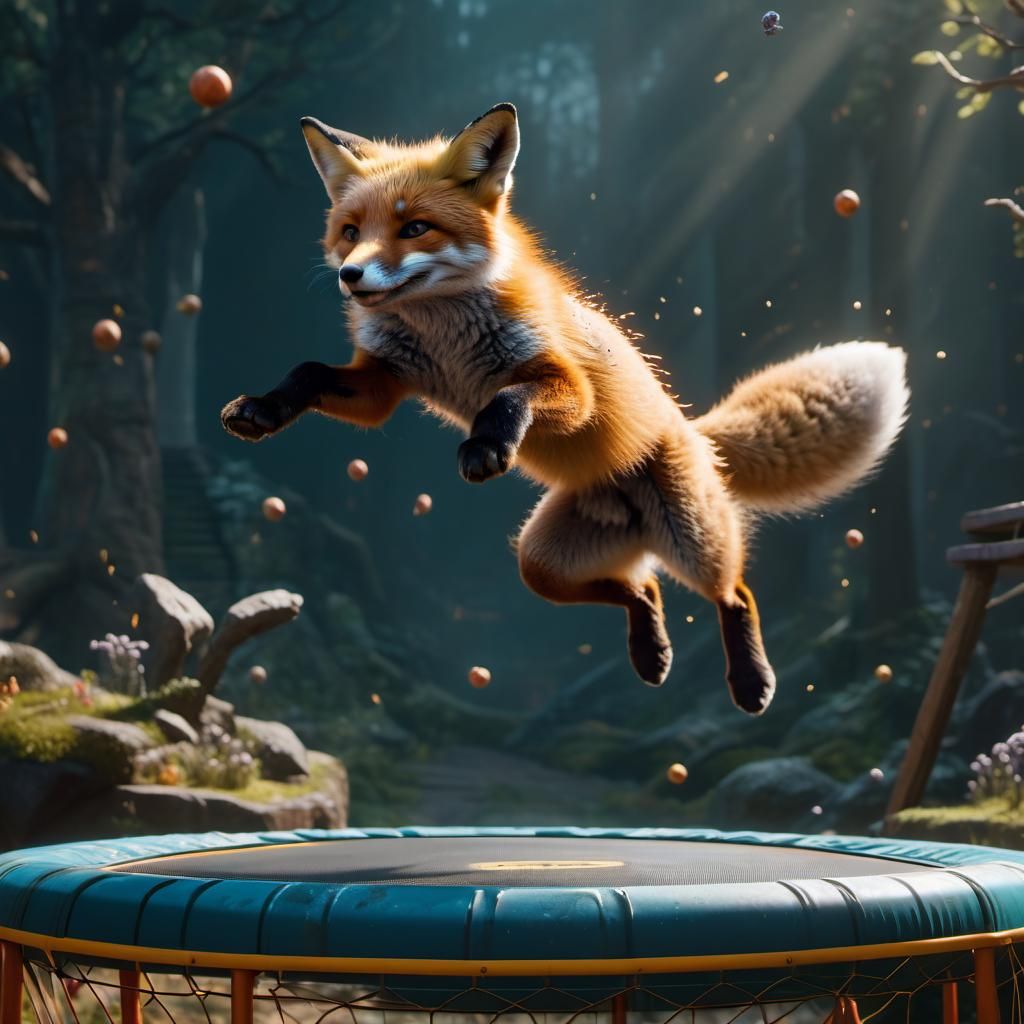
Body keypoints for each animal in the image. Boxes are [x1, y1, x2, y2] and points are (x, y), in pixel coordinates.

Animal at [220, 102, 909, 715]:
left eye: (415, 228)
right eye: (351, 232)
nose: (351, 276)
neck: (444, 336)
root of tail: (692, 430)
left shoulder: (569, 388)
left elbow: (507, 395)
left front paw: (487, 445)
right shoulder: (385, 384)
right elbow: (308, 373)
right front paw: (262, 409)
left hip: (692, 540)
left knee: (733, 591)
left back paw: (750, 681)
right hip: (540, 563)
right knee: (642, 588)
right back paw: (650, 652)